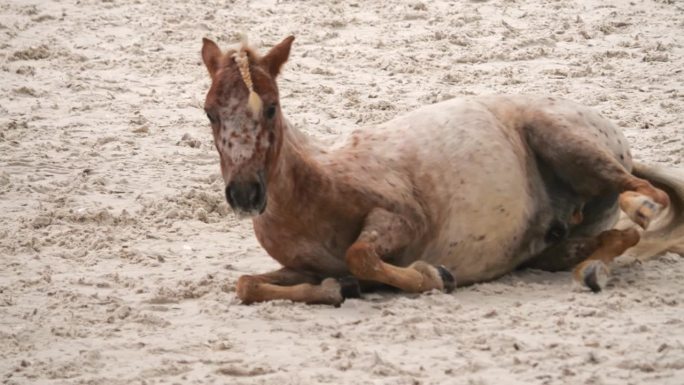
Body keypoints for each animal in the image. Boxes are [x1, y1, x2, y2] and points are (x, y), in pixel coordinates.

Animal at [199, 36, 684, 306]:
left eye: (271, 107)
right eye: (209, 112)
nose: (245, 194)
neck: (314, 187)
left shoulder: (403, 217)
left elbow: (362, 255)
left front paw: (434, 276)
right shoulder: (300, 267)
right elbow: (247, 285)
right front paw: (340, 289)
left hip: (567, 144)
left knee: (646, 197)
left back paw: (630, 222)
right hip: (551, 246)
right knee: (618, 236)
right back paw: (591, 267)